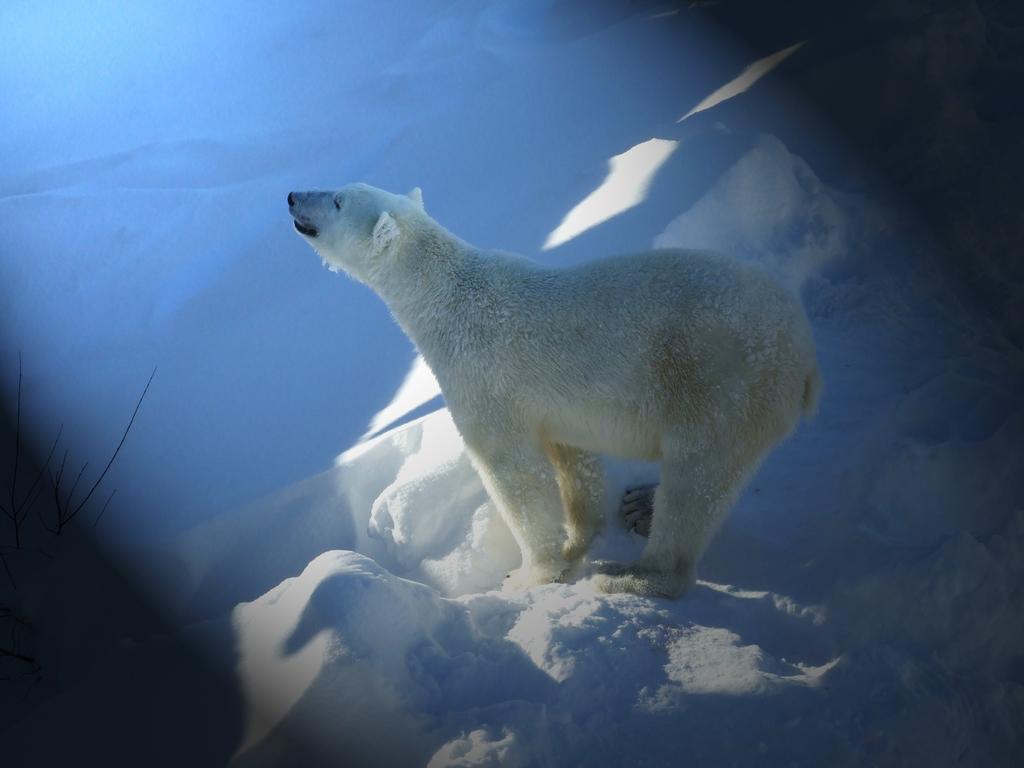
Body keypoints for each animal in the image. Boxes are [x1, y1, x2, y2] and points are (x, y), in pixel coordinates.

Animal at [288, 183, 823, 598]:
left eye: (337, 199)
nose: (292, 196)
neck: (447, 296)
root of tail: (802, 350)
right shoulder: (557, 404)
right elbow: (573, 462)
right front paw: (576, 543)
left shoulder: (482, 377)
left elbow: (512, 473)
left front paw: (530, 575)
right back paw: (640, 505)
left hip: (720, 384)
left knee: (696, 483)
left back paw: (633, 575)